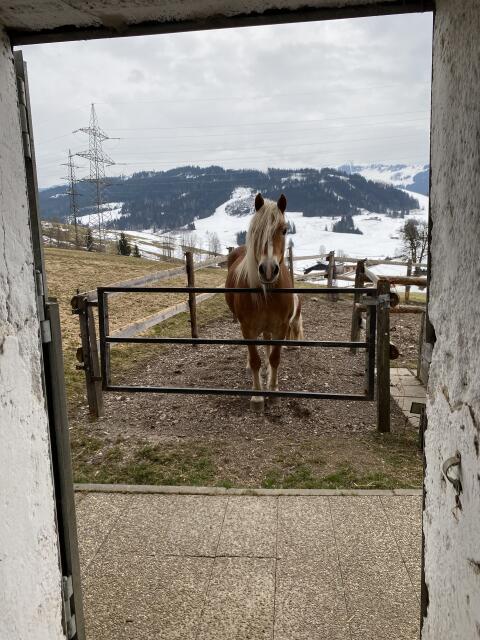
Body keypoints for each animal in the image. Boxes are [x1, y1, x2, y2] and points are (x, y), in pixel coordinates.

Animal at [225, 193, 304, 411]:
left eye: (284, 230)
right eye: (256, 231)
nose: (268, 270)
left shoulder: (282, 326)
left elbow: (275, 358)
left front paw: (273, 390)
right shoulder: (247, 328)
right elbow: (254, 360)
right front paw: (257, 397)